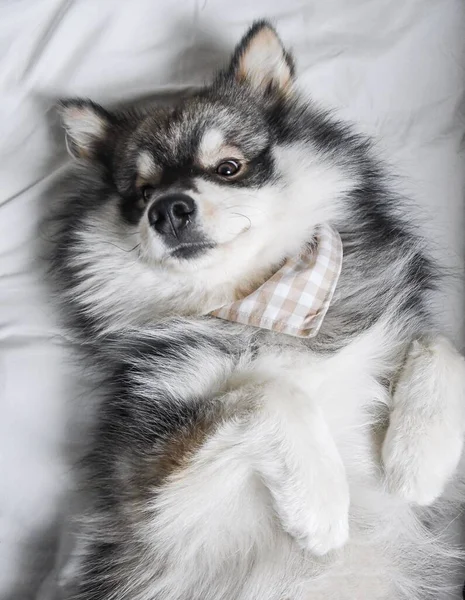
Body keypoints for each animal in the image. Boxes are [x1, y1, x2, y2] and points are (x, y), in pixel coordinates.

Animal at [48, 19, 464, 600]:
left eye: (228, 167)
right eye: (143, 191)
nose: (167, 210)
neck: (265, 301)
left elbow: (441, 343)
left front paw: (419, 457)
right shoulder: (154, 496)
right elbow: (265, 391)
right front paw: (320, 501)